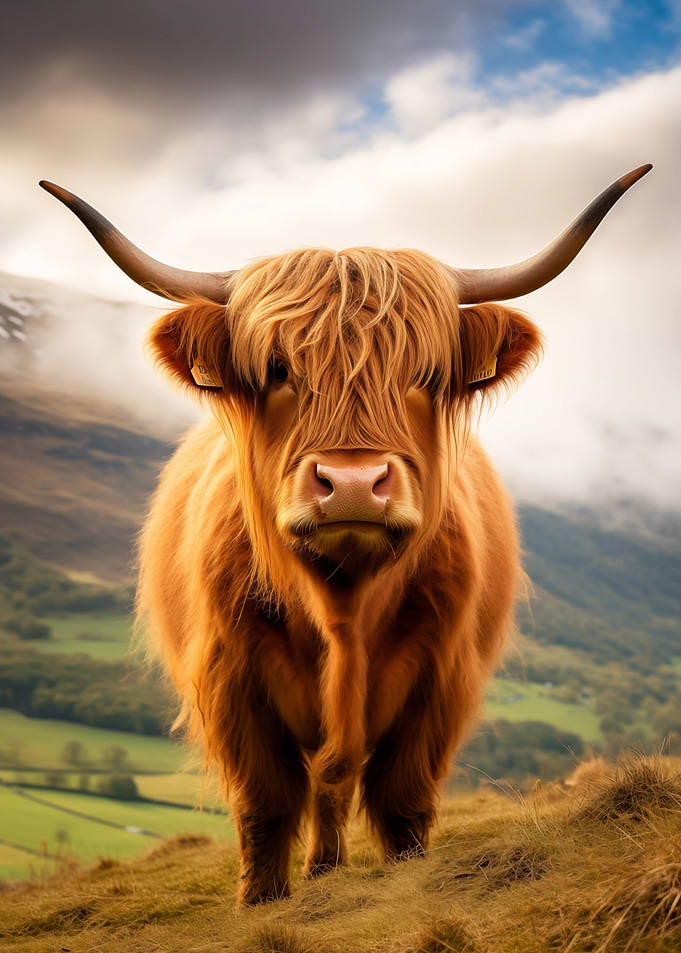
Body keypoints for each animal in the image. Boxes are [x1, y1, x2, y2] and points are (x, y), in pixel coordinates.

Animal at [41, 165, 651, 904]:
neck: (342, 605)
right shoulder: (230, 677)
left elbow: (401, 798)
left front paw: (406, 874)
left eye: (424, 374)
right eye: (276, 370)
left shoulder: (440, 678)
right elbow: (268, 803)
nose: (354, 483)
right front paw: (262, 901)